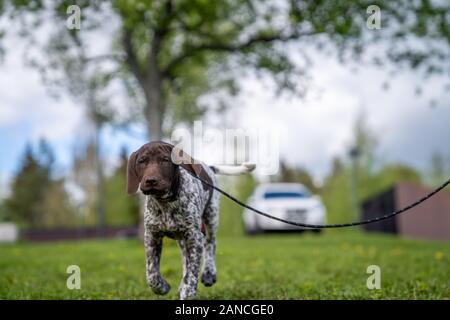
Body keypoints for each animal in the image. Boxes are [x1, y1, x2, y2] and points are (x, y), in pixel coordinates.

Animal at [127, 141, 253, 298]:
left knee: (210, 244)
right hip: (183, 238)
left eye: (165, 160)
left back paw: (208, 273)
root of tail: (208, 167)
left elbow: (193, 272)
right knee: (185, 259)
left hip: (211, 216)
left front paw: (189, 292)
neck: (166, 202)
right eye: (142, 161)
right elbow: (152, 273)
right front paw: (162, 287)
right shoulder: (151, 236)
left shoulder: (195, 236)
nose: (151, 180)